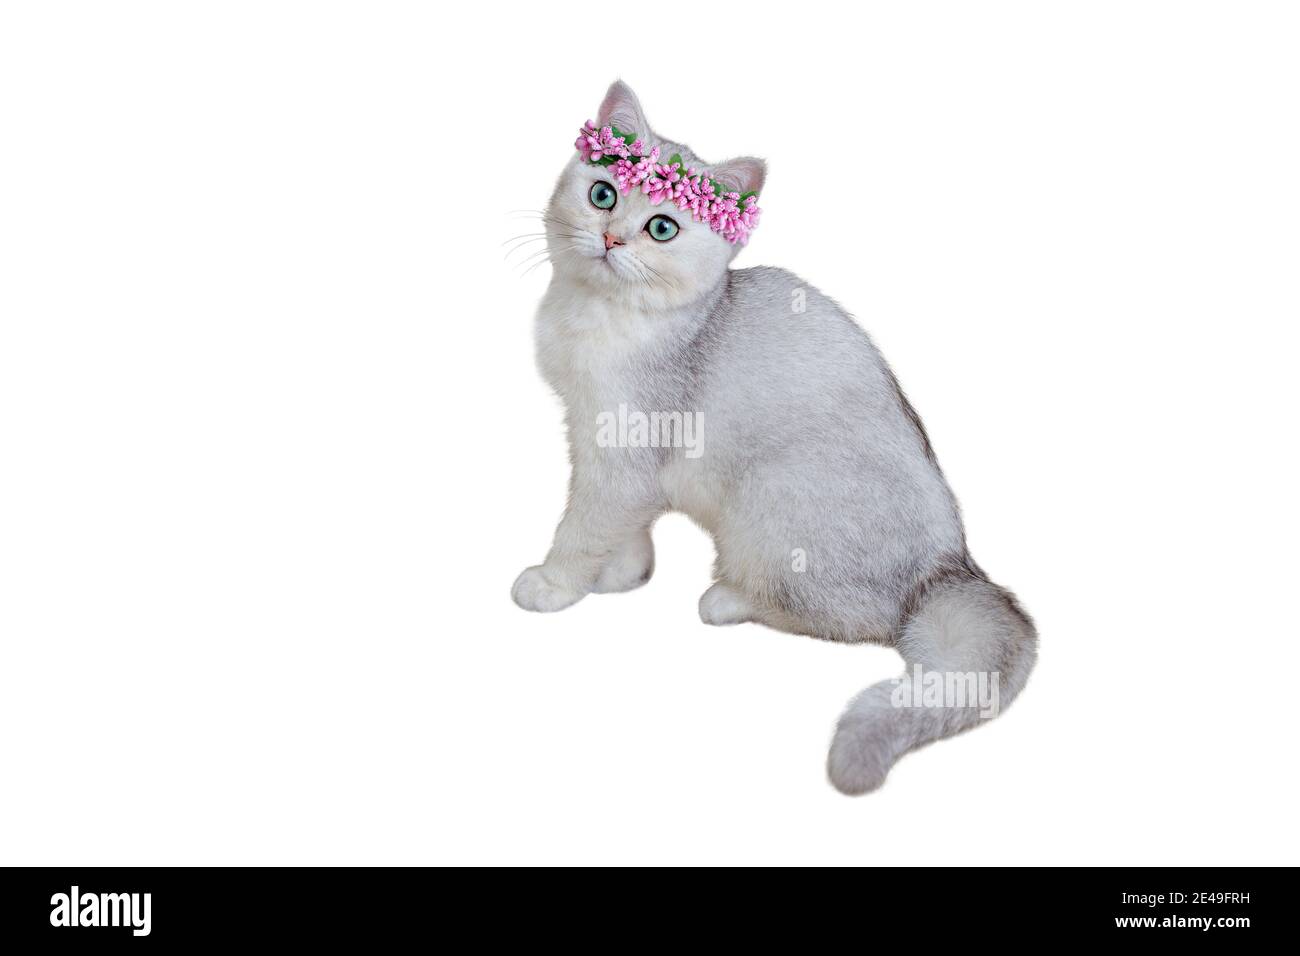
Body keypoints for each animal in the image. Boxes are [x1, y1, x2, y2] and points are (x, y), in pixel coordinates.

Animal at [512, 80, 1040, 790]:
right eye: (603, 194)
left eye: (661, 227)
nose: (613, 239)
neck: (598, 316)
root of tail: (951, 568)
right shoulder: (601, 443)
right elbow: (627, 528)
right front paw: (624, 575)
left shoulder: (621, 448)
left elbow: (583, 528)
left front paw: (555, 584)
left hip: (768, 496)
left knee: (853, 619)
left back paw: (727, 600)